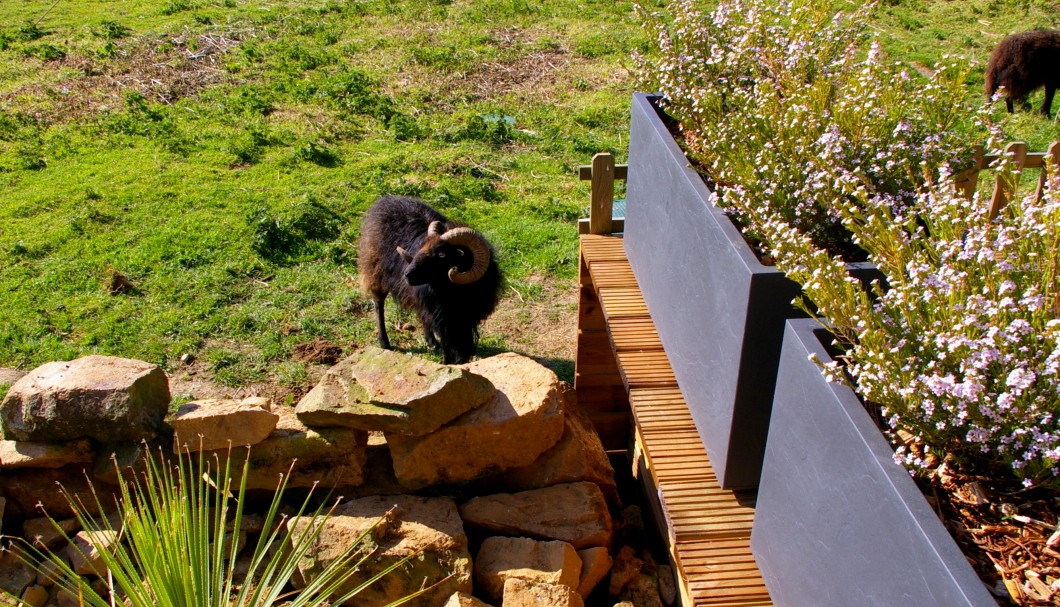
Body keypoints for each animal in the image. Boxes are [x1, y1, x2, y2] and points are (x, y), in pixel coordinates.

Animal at [358, 195, 502, 362]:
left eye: (441, 254)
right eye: (422, 246)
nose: (406, 274)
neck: (455, 294)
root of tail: (385, 199)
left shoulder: (466, 318)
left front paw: (462, 359)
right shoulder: (443, 320)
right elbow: (448, 347)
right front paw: (449, 363)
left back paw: (431, 342)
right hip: (375, 270)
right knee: (378, 304)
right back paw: (385, 343)